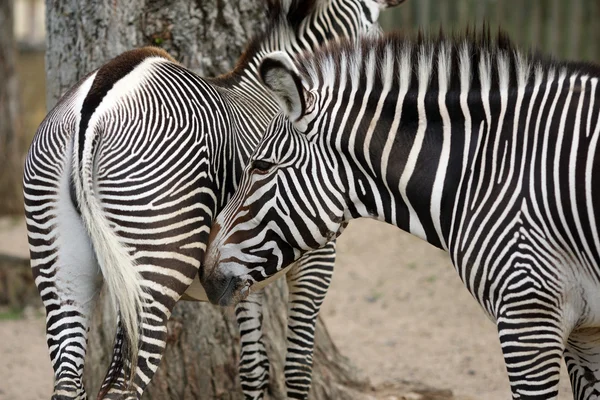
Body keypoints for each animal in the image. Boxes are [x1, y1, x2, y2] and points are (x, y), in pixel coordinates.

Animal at [22, 1, 404, 398]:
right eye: (373, 23)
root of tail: (92, 106)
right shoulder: (315, 254)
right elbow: (297, 369)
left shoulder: (240, 270)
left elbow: (254, 367)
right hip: (154, 271)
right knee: (121, 386)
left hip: (63, 272)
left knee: (69, 381)